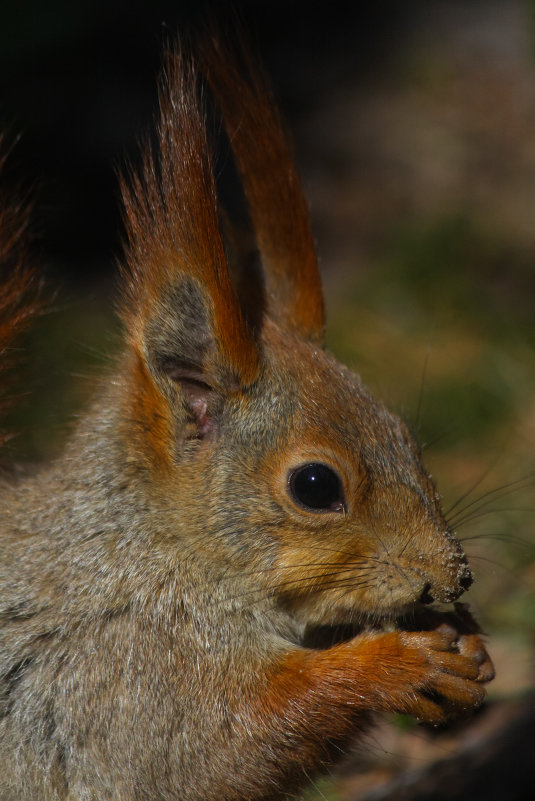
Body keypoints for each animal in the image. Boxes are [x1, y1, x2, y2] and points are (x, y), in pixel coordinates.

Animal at [0, 28, 494, 800]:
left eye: (404, 434)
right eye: (315, 486)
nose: (452, 577)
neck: (153, 549)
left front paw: (463, 636)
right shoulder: (126, 672)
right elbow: (226, 742)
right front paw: (393, 664)